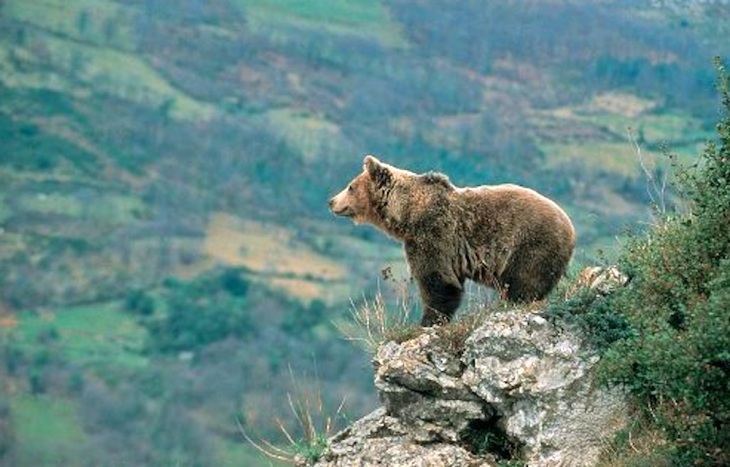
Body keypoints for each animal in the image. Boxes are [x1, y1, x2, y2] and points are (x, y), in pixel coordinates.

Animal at [329, 155, 576, 326]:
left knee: (525, 282)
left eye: (350, 186)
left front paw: (427, 321)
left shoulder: (433, 234)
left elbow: (437, 281)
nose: (331, 201)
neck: (406, 214)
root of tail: (570, 227)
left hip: (530, 244)